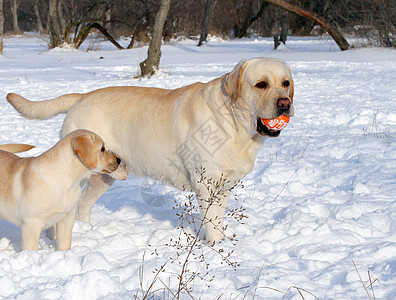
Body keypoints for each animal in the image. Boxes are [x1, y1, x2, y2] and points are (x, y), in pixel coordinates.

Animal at [6, 57, 294, 243]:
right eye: (261, 84)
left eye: (286, 83)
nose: (285, 104)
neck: (234, 123)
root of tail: (82, 96)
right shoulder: (207, 184)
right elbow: (211, 222)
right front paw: (214, 248)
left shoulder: (224, 186)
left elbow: (218, 221)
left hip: (104, 176)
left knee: (83, 206)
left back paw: (87, 231)